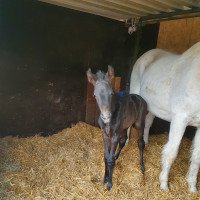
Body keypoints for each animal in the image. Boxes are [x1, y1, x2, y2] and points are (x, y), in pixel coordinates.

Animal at [130, 41, 200, 192]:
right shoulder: (180, 119)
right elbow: (171, 152)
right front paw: (163, 184)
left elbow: (197, 156)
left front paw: (192, 187)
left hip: (150, 107)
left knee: (147, 124)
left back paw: (146, 143)